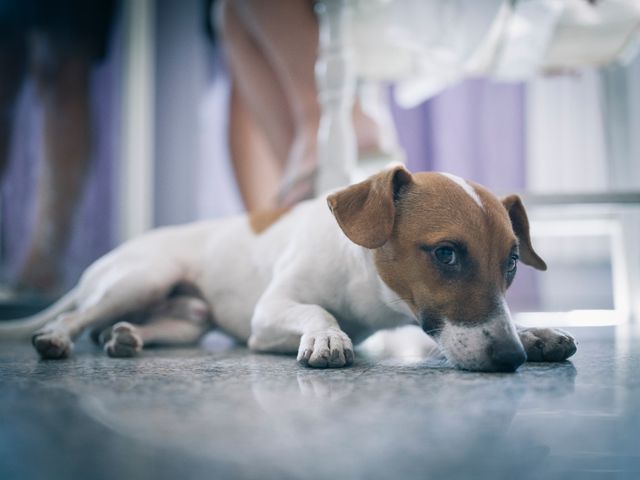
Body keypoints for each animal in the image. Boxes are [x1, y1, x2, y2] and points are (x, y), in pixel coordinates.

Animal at [0, 166, 576, 372]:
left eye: (512, 262)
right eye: (446, 253)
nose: (511, 358)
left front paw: (536, 334)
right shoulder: (270, 313)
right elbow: (317, 312)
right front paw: (326, 337)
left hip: (186, 318)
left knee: (116, 328)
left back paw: (124, 338)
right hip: (141, 278)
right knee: (76, 318)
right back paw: (58, 337)